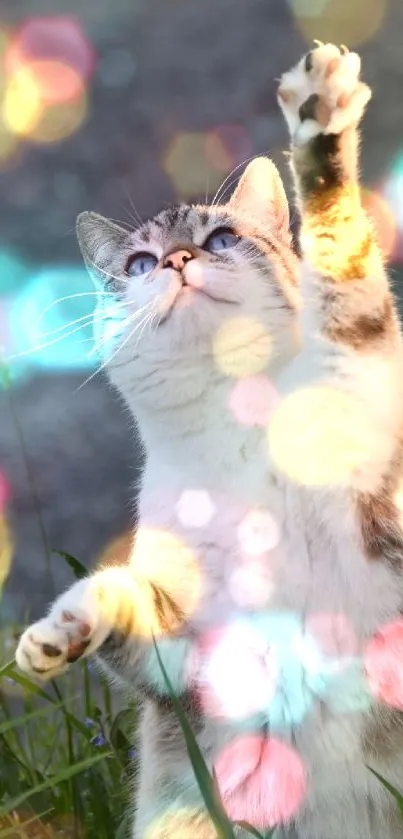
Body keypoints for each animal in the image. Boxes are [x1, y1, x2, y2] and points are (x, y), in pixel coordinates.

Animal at [15, 44, 403, 839]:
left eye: (220, 240)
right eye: (138, 264)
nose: (177, 260)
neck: (235, 428)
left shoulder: (361, 397)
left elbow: (340, 252)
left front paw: (318, 122)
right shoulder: (196, 656)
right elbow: (123, 596)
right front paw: (56, 632)